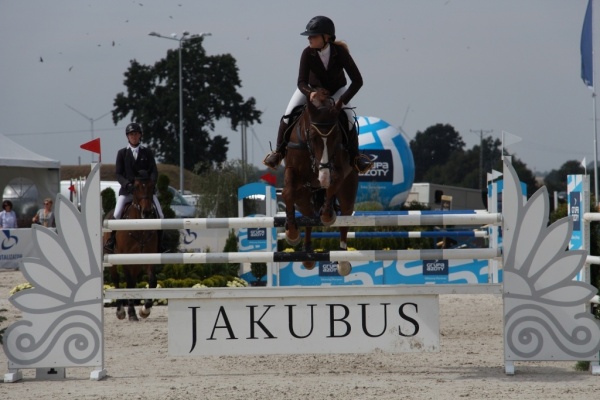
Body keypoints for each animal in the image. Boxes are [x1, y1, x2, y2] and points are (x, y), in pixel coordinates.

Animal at [103, 170, 159, 322]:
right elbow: (128, 283)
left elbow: (152, 280)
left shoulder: (149, 256)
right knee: (116, 280)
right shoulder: (125, 258)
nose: (146, 212)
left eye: (152, 186)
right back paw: (121, 311)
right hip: (112, 259)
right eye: (136, 187)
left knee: (132, 281)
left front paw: (145, 309)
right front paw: (132, 312)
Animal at [280, 92, 356, 276]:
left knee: (345, 217)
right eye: (313, 137)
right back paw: (307, 254)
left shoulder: (339, 171)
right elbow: (287, 193)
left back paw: (343, 260)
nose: (323, 178)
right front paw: (291, 233)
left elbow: (332, 186)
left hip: (348, 191)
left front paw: (327, 215)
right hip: (303, 197)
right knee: (308, 216)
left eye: (336, 136)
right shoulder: (292, 170)